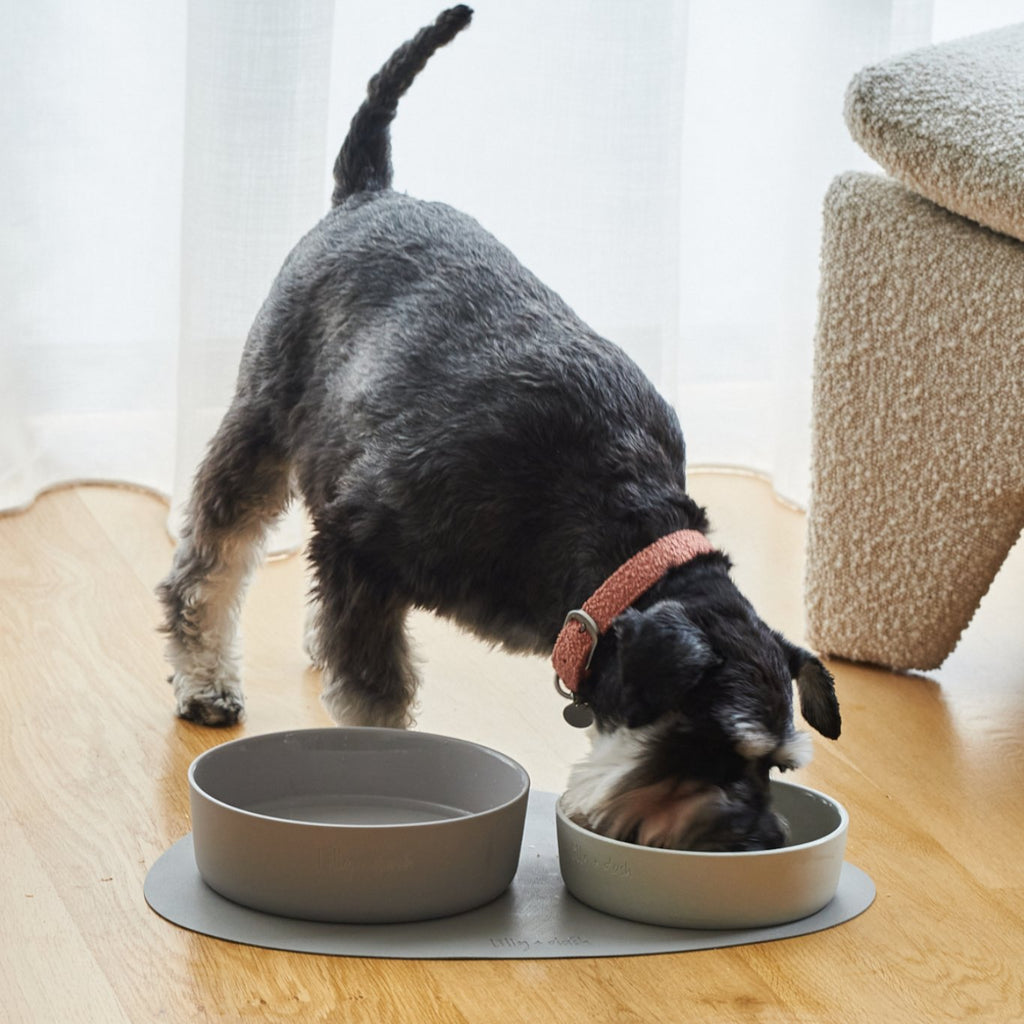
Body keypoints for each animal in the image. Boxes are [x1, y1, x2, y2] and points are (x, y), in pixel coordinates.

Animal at [155, 8, 835, 851]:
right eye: (709, 744)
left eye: (778, 764)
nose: (765, 840)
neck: (610, 528)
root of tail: (368, 191)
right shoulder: (360, 543)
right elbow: (375, 698)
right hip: (261, 425)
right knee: (209, 562)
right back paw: (205, 678)